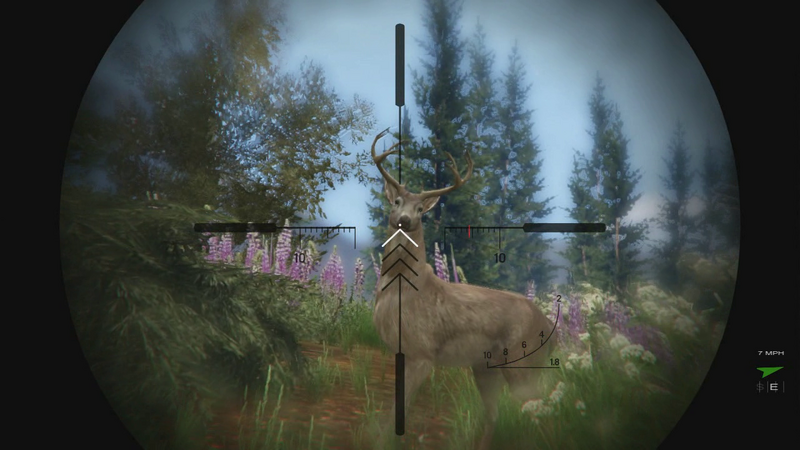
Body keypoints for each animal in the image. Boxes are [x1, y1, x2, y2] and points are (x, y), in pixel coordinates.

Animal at [370, 128, 558, 450]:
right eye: (396, 202)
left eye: (420, 208)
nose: (405, 220)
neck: (401, 289)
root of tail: (551, 327)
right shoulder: (400, 351)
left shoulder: (423, 351)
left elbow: (400, 406)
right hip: (485, 368)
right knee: (495, 415)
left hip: (523, 361)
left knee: (541, 409)